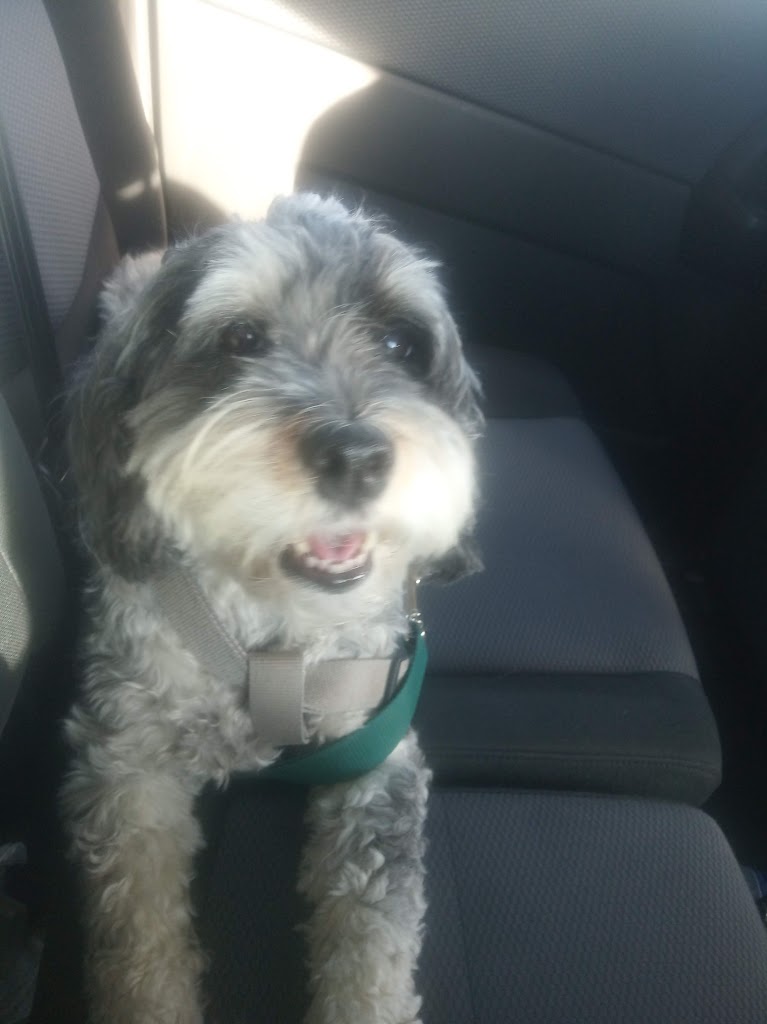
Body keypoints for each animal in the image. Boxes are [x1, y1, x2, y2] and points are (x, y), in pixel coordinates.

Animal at [61, 193, 482, 1024]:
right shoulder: (127, 762)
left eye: (401, 341)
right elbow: (137, 934)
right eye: (241, 339)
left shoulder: (375, 755)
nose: (356, 456)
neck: (271, 627)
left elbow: (372, 950)